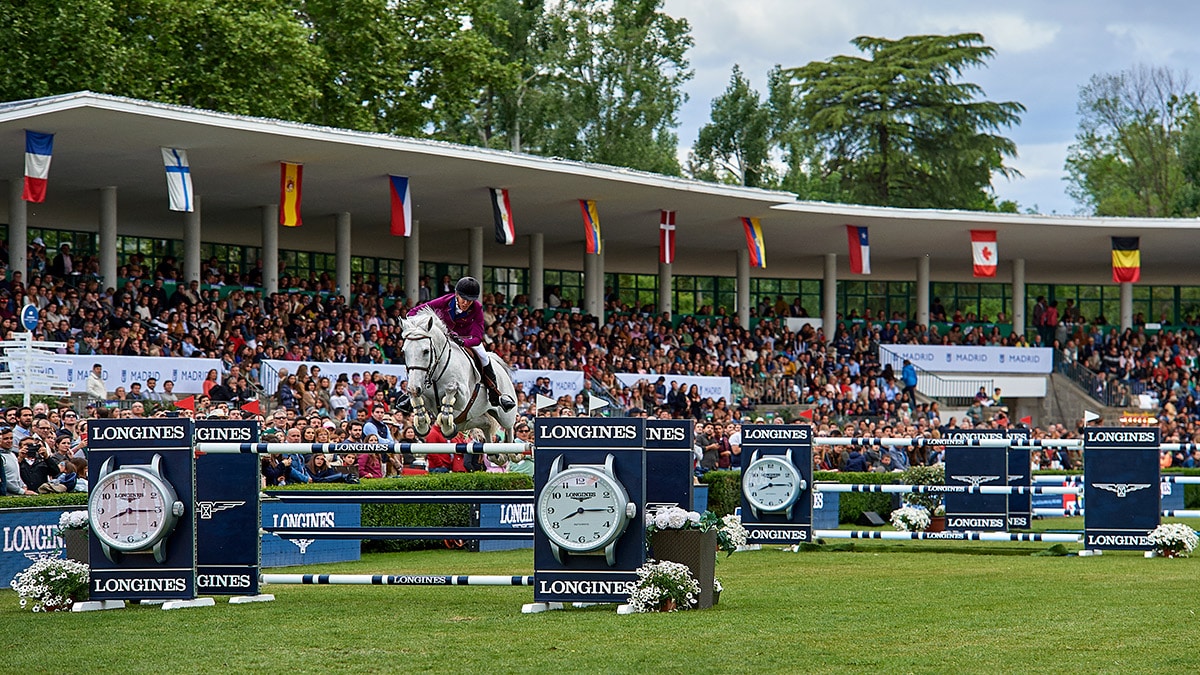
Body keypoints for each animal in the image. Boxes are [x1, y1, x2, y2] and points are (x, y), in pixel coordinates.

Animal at [400, 306, 518, 441]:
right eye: (404, 351)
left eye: (426, 351)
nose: (415, 387)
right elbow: (417, 400)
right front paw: (422, 425)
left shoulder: (464, 399)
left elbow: (450, 391)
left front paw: (447, 427)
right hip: (469, 420)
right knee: (486, 425)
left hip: (506, 417)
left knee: (509, 431)